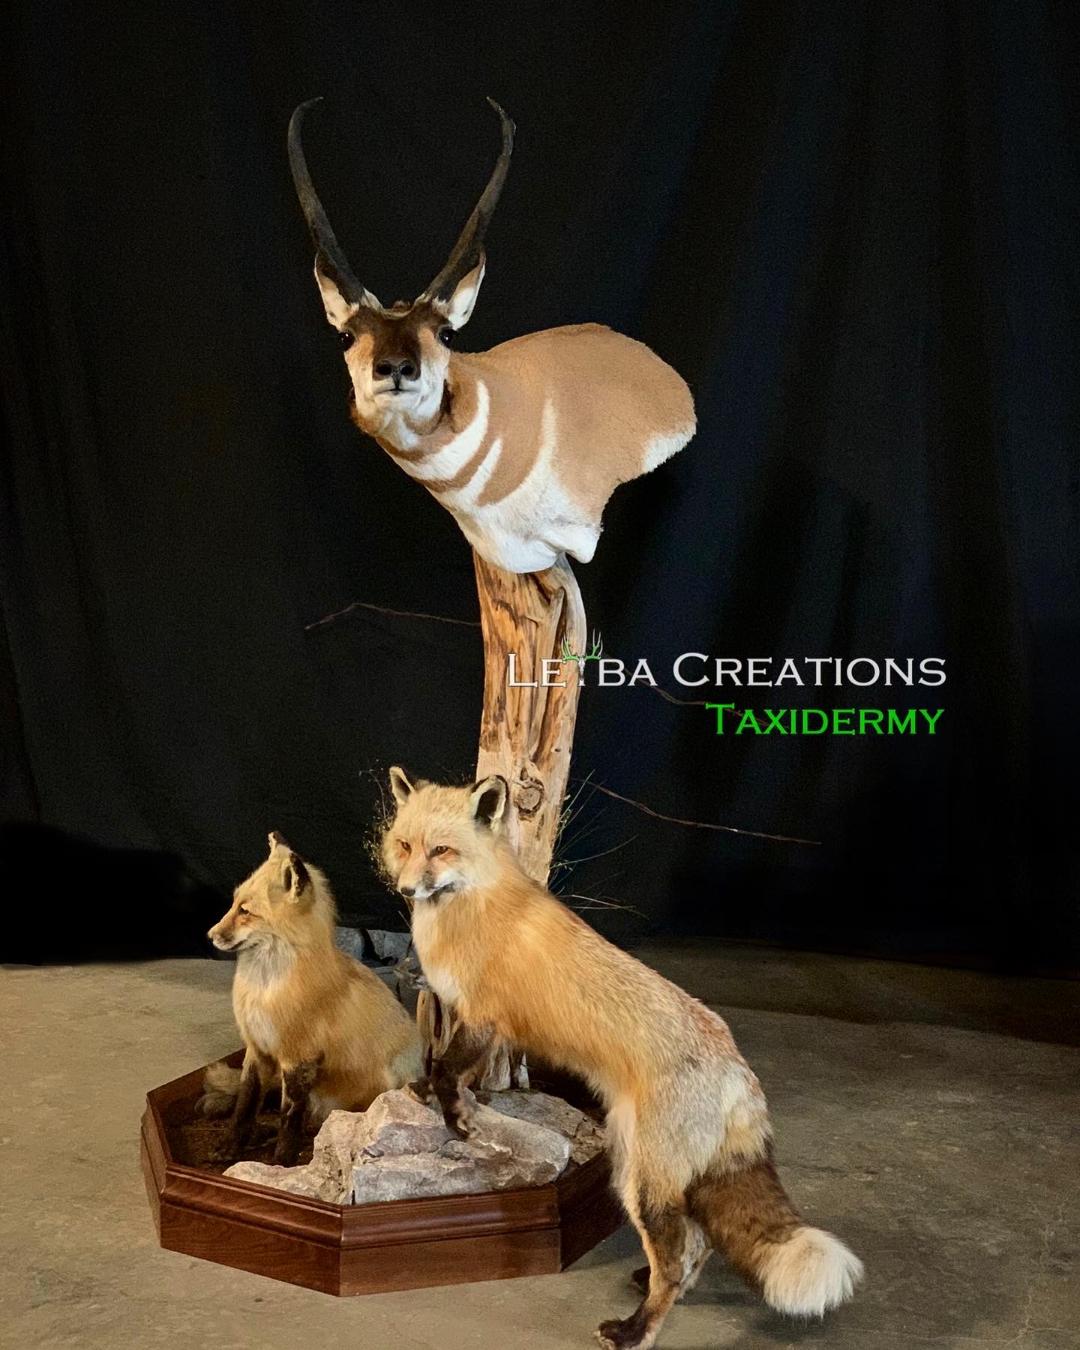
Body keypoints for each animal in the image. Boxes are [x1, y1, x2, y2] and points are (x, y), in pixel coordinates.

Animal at [205, 831, 423, 1165]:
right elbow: (245, 1105)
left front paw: (281, 1162)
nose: (210, 935)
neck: (265, 990)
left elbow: (289, 1116)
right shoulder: (258, 1048)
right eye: (234, 904)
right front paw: (231, 1147)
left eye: (246, 911)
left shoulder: (298, 1058)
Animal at [381, 768, 863, 1350]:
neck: (473, 904)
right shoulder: (481, 1022)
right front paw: (428, 1095)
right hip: (649, 1170)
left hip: (640, 1183)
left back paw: (635, 1331)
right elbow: (454, 1068)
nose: (407, 889)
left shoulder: (482, 1016)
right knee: (696, 1247)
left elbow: (450, 1068)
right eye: (405, 845)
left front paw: (453, 1114)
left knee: (674, 1265)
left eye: (441, 850)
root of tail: (737, 1067)